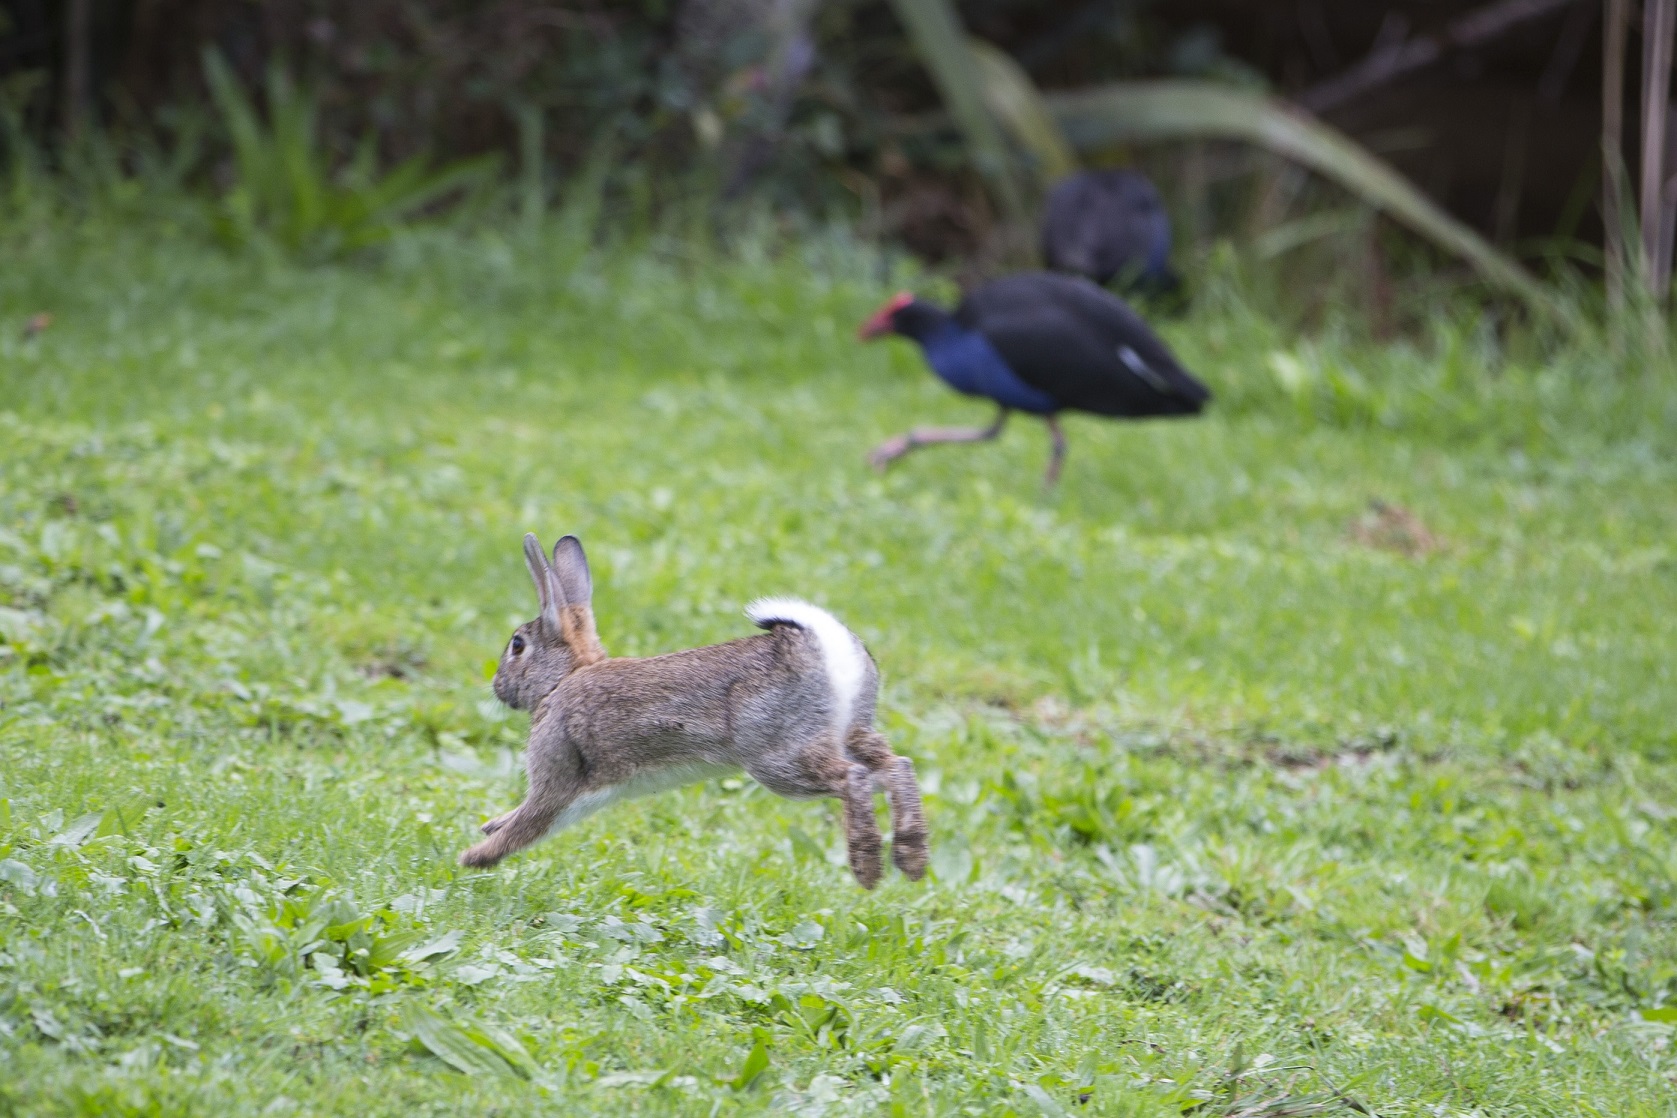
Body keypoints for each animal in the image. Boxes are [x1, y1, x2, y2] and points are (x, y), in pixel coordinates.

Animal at [459, 533, 932, 891]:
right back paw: (911, 858)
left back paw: (867, 868)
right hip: (850, 730)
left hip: (779, 758)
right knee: (896, 766)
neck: (563, 679)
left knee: (854, 778)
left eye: (517, 645)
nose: (498, 687)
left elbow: (530, 821)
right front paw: (489, 827)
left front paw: (474, 856)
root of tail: (822, 648)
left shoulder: (557, 774)